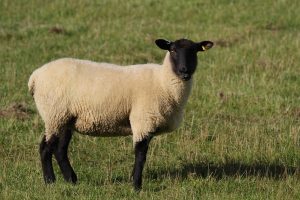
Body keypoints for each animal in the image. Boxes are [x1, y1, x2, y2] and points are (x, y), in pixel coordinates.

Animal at [28, 38, 213, 191]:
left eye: (195, 51)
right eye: (172, 50)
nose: (184, 71)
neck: (163, 82)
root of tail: (35, 77)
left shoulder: (147, 123)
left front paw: (133, 180)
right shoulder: (142, 120)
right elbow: (140, 155)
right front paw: (136, 186)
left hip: (65, 119)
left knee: (60, 150)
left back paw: (71, 180)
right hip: (54, 114)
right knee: (45, 148)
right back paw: (50, 181)